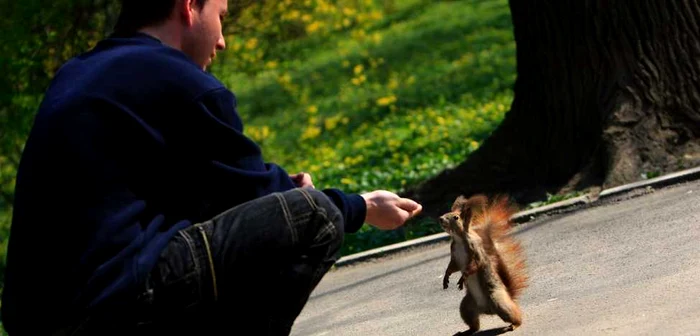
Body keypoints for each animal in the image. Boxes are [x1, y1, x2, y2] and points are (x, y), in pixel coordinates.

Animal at [440, 193, 528, 334]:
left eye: (456, 217)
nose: (440, 219)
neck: (459, 239)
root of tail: (487, 310)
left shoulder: (476, 251)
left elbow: (475, 265)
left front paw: (463, 278)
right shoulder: (454, 256)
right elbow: (452, 267)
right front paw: (446, 278)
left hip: (498, 302)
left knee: (514, 315)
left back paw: (514, 325)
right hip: (467, 307)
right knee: (474, 324)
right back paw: (467, 331)